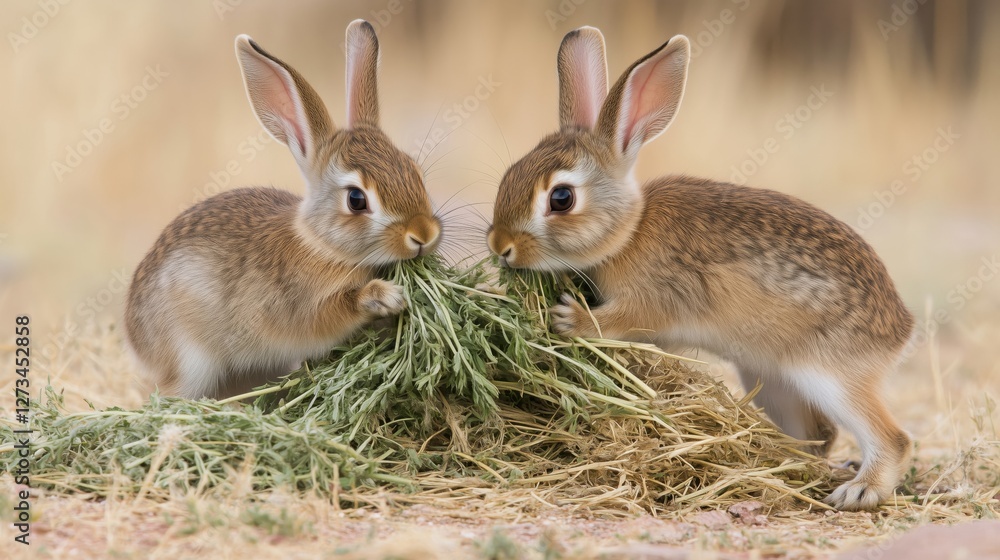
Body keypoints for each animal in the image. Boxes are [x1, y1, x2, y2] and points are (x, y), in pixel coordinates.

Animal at [125, 20, 441, 401]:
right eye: (356, 199)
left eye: (414, 171)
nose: (423, 235)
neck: (322, 246)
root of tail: (133, 336)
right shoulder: (301, 308)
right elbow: (335, 311)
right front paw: (386, 296)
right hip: (190, 358)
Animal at [487, 26, 913, 511]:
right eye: (510, 173)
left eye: (561, 198)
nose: (500, 246)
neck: (629, 232)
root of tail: (901, 328)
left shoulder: (660, 298)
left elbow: (623, 319)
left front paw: (569, 318)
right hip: (770, 378)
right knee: (815, 435)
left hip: (830, 375)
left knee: (891, 437)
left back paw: (859, 490)